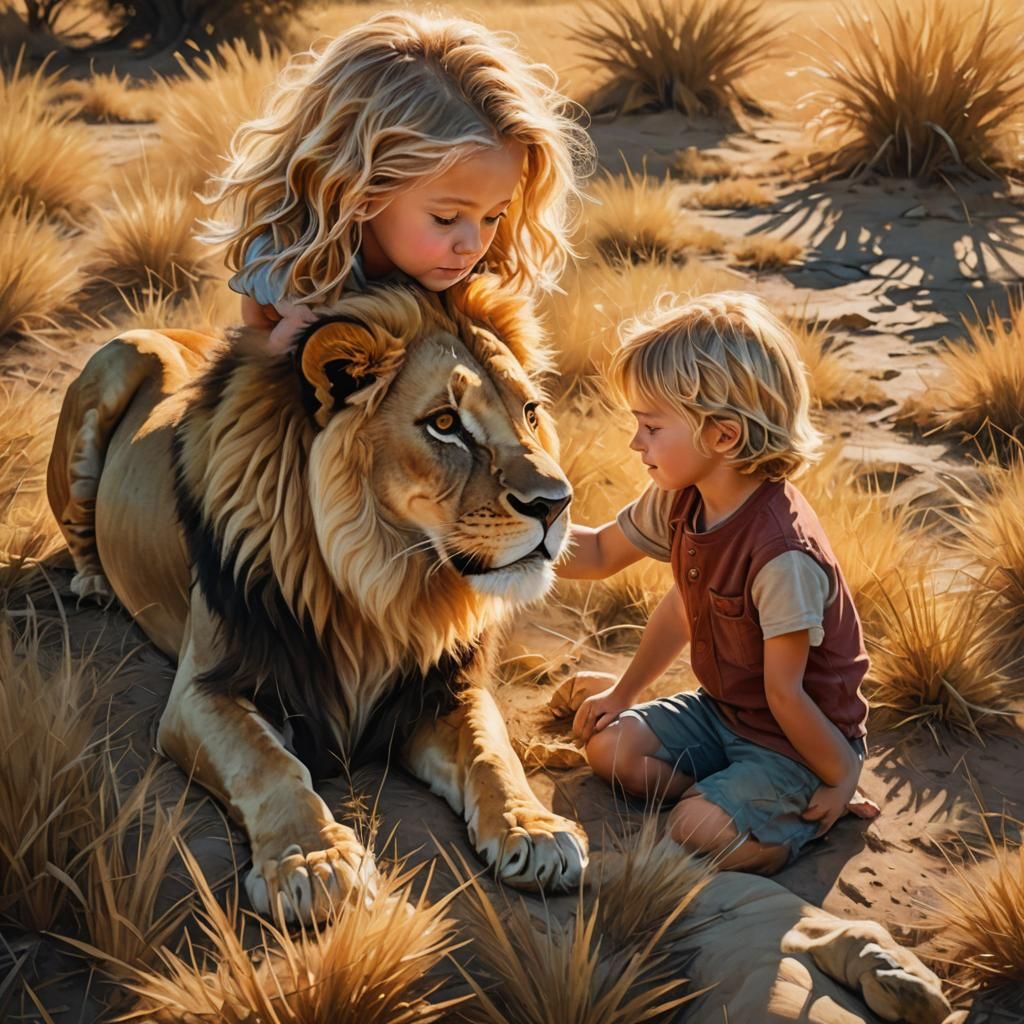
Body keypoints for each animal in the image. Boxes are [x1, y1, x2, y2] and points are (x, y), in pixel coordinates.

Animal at [47, 275, 588, 924]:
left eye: (530, 412)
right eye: (444, 423)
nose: (556, 503)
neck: (383, 589)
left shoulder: (443, 687)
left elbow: (492, 750)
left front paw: (536, 830)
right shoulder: (203, 691)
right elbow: (269, 763)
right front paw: (314, 863)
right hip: (114, 367)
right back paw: (94, 585)